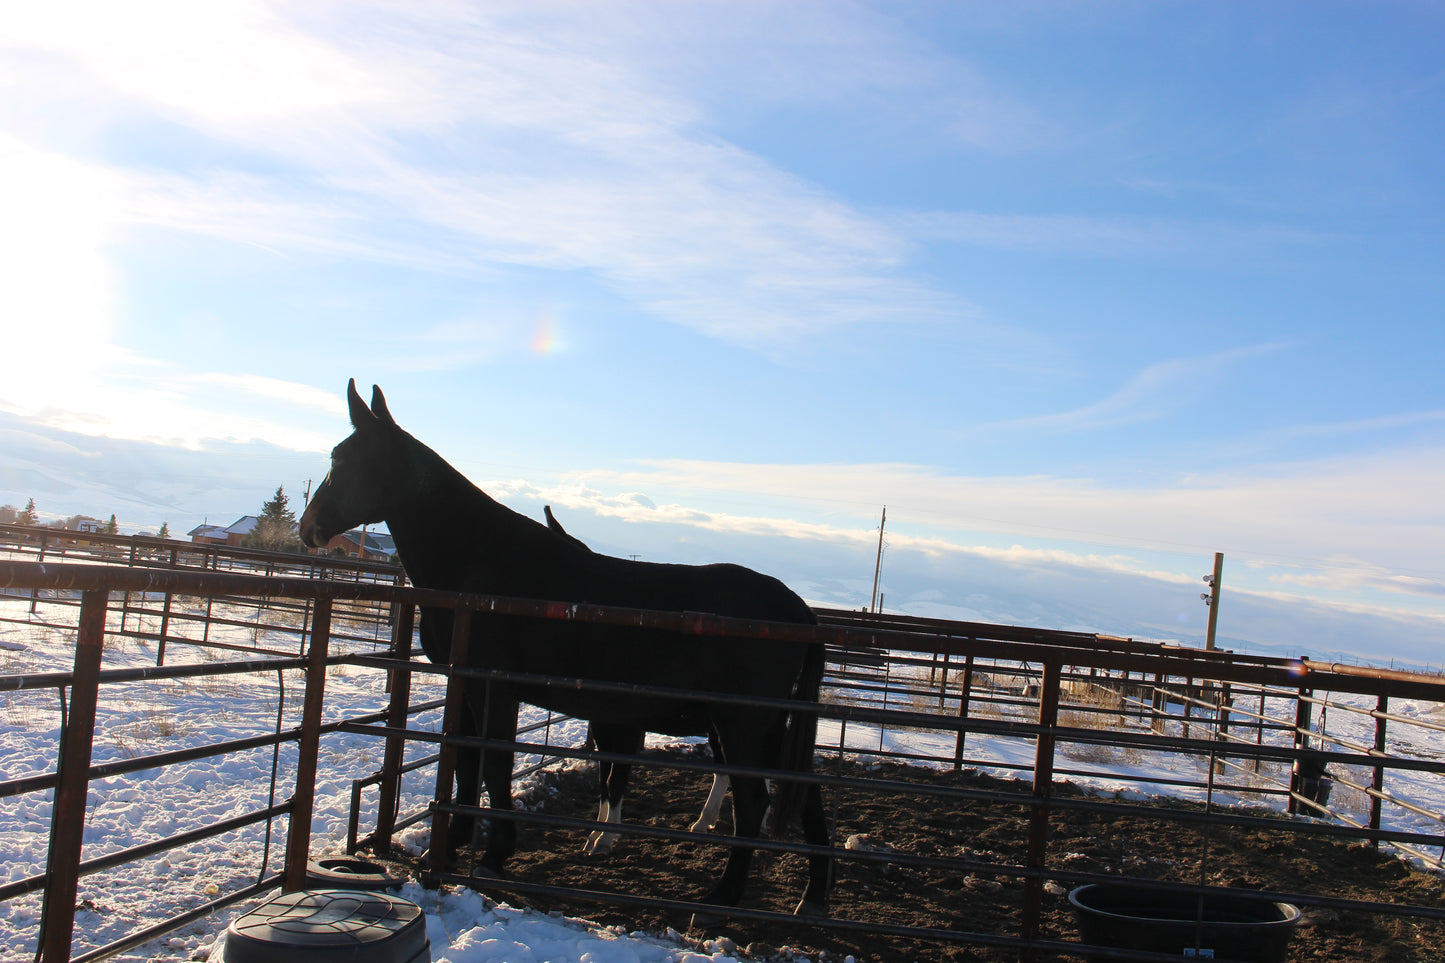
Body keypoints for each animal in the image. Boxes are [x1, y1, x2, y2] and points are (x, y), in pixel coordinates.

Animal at [299, 381, 831, 915]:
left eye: (343, 458)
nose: (307, 529)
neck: (482, 563)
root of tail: (797, 609)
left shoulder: (495, 688)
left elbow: (494, 765)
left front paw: (494, 855)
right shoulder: (467, 685)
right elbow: (466, 766)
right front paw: (449, 848)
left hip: (742, 725)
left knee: (754, 802)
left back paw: (725, 894)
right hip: (765, 726)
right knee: (803, 793)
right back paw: (811, 898)